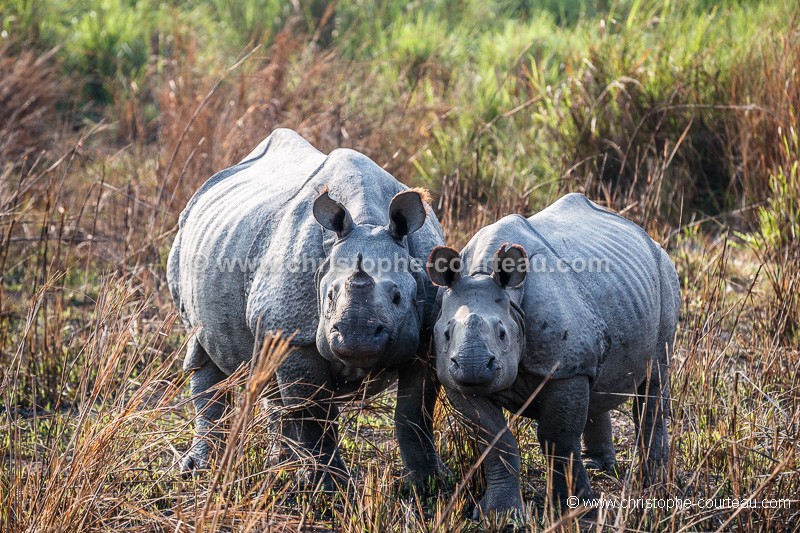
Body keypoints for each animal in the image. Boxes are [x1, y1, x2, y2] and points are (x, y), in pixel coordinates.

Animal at [167, 128, 444, 486]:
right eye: (329, 296)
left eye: (398, 297)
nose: (356, 337)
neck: (369, 221)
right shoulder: (294, 333)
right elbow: (313, 413)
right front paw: (329, 488)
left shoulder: (426, 334)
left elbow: (414, 412)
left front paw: (427, 484)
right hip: (184, 244)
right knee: (202, 351)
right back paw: (200, 470)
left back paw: (279, 466)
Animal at [428, 193, 680, 512]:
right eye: (446, 334)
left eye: (502, 333)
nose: (473, 366)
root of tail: (644, 233)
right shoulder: (455, 382)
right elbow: (495, 440)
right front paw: (498, 512)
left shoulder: (565, 369)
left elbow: (556, 437)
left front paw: (574, 506)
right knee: (599, 381)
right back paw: (600, 467)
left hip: (664, 271)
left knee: (654, 379)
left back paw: (654, 484)